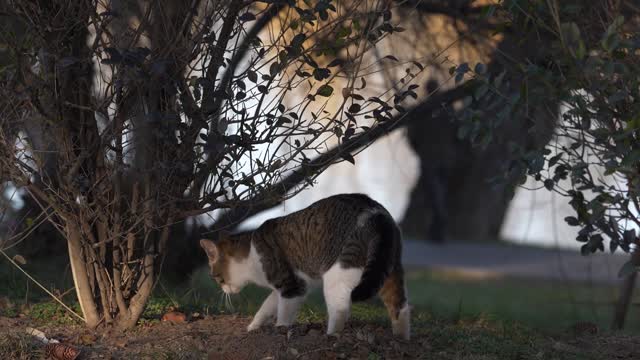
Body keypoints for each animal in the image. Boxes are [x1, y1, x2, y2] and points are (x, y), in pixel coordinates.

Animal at [199, 193, 410, 338]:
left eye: (215, 277)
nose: (223, 290)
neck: (251, 253)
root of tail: (375, 211)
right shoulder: (285, 287)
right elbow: (266, 306)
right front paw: (253, 327)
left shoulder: (292, 286)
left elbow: (283, 314)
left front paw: (280, 331)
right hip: (388, 268)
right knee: (400, 307)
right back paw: (400, 339)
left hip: (340, 271)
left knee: (341, 308)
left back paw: (331, 336)